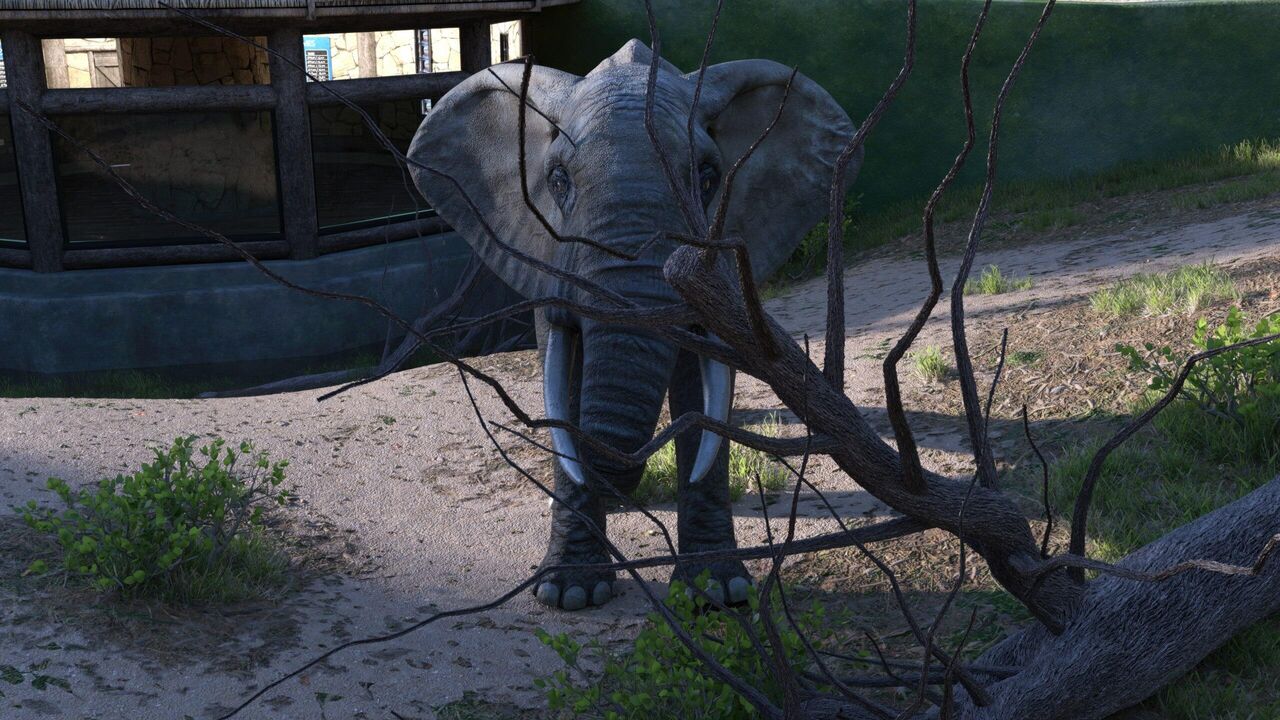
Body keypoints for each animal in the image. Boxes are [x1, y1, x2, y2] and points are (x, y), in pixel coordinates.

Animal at [408, 40, 857, 610]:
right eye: (558, 181)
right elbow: (565, 374)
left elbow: (703, 389)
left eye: (707, 178)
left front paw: (717, 593)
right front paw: (569, 595)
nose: (618, 475)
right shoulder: (546, 257)